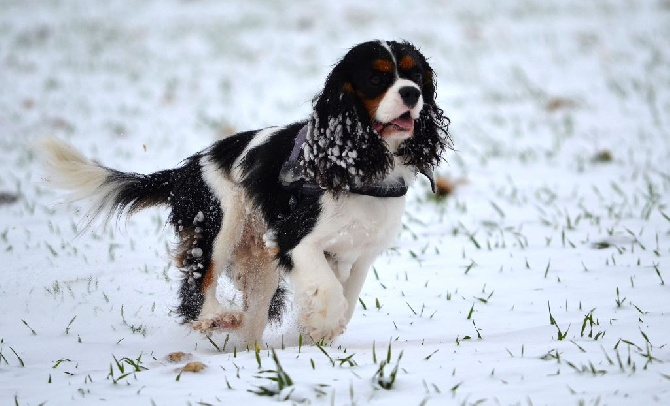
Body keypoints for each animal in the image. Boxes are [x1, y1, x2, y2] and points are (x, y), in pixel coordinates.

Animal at [39, 40, 454, 346]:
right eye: (376, 78)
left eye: (416, 74)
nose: (411, 93)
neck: (358, 162)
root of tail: (185, 170)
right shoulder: (294, 240)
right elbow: (329, 291)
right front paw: (322, 326)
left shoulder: (361, 252)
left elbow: (347, 295)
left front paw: (315, 334)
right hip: (218, 221)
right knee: (198, 284)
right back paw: (216, 318)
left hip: (256, 259)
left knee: (250, 312)